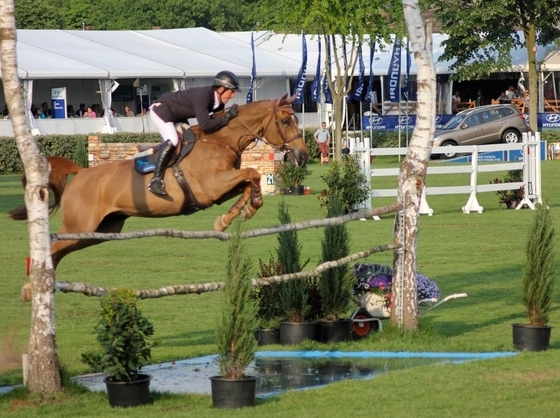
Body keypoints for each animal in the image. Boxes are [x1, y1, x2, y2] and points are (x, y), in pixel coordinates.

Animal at [9, 94, 306, 298]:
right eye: (284, 121)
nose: (302, 156)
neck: (220, 140)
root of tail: (81, 172)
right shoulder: (211, 187)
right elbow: (253, 173)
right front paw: (237, 214)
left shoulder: (221, 188)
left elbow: (249, 181)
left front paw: (236, 215)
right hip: (80, 225)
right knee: (52, 247)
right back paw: (32, 287)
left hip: (100, 231)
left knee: (59, 251)